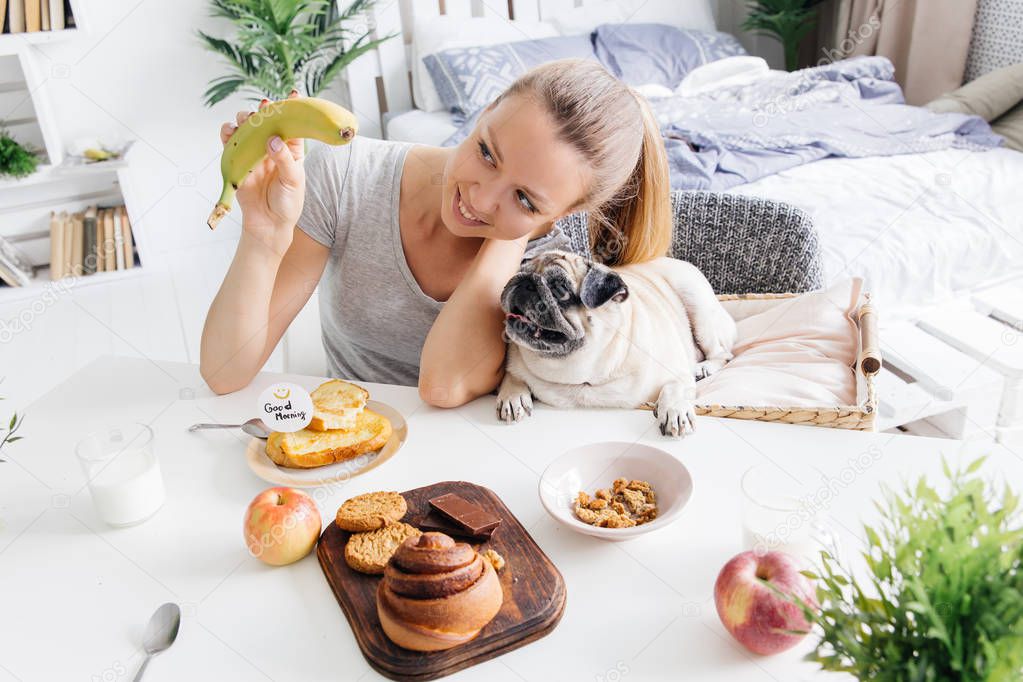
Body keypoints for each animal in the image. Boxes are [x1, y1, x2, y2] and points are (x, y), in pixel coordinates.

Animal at [495, 250, 736, 437]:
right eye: (520, 270)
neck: (580, 373)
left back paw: (703, 368)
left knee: (723, 354)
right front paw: (513, 397)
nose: (525, 280)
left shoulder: (677, 371)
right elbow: (513, 375)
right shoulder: (515, 364)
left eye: (560, 289)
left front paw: (675, 411)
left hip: (696, 301)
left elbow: (674, 387)